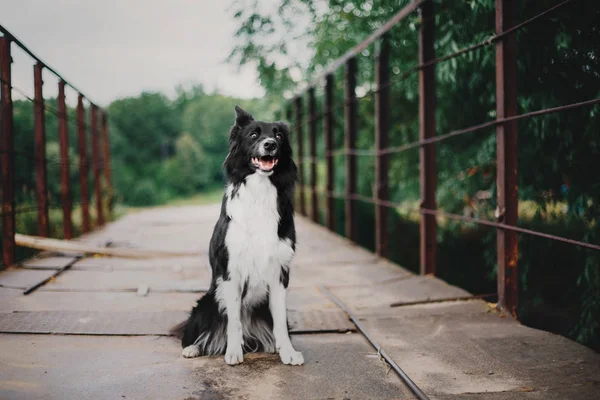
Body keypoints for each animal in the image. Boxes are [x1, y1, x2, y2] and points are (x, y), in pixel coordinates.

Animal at [170, 105, 304, 366]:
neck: (260, 191)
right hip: (207, 302)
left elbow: (280, 322)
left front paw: (288, 352)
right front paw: (233, 352)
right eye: (253, 135)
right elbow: (233, 319)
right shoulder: (231, 270)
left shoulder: (280, 272)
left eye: (278, 135)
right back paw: (192, 347)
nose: (270, 144)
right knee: (199, 329)